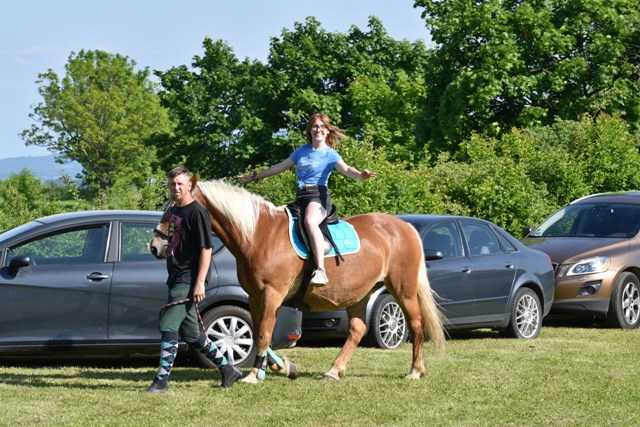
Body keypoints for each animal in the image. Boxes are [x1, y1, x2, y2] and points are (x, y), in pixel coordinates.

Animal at [151, 179, 444, 382]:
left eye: (177, 209)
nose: (155, 246)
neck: (260, 235)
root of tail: (404, 227)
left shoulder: (272, 294)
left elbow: (263, 333)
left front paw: (254, 375)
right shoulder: (255, 297)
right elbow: (260, 332)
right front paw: (281, 367)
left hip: (403, 289)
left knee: (416, 324)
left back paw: (415, 370)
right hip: (359, 293)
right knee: (358, 329)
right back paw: (334, 370)